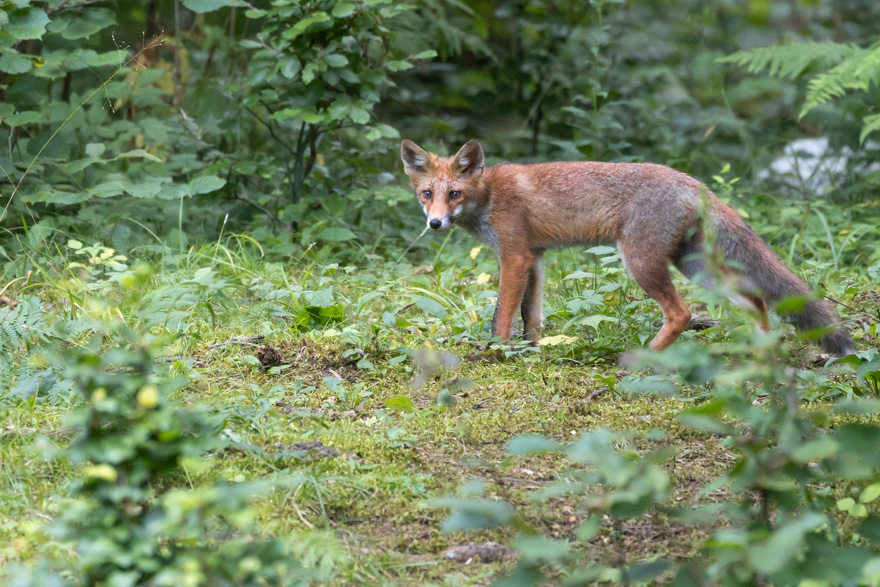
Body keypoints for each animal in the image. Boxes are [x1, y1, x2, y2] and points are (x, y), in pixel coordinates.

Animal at [402, 140, 856, 356]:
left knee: (682, 313)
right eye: (427, 194)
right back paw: (760, 352)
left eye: (455, 193)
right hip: (695, 267)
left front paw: (494, 354)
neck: (490, 196)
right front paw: (532, 352)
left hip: (640, 261)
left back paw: (645, 358)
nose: (435, 223)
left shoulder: (514, 256)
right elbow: (532, 316)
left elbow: (502, 316)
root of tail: (693, 182)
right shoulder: (537, 258)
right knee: (754, 299)